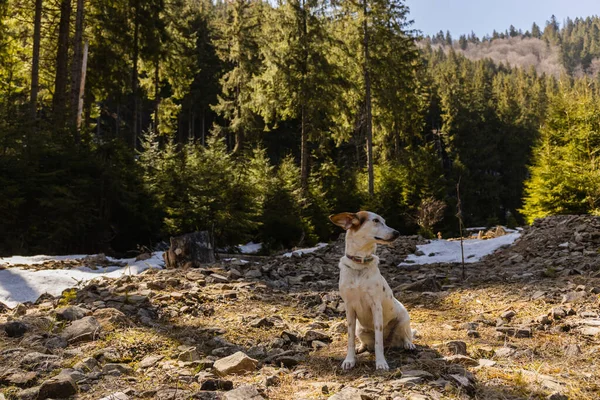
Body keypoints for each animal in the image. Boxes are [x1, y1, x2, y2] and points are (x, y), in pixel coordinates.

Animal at [330, 211, 414, 370]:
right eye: (375, 220)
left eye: (385, 221)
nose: (397, 232)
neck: (359, 265)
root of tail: (390, 342)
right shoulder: (349, 309)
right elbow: (350, 340)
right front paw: (350, 360)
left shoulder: (376, 307)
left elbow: (378, 342)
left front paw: (381, 363)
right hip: (360, 329)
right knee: (366, 342)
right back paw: (361, 348)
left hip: (403, 320)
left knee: (406, 335)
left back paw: (408, 344)